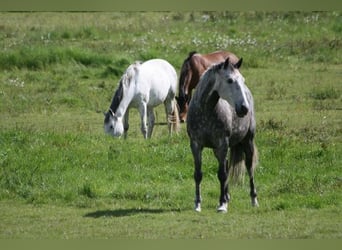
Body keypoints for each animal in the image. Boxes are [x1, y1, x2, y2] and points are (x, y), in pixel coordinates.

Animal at [187, 57, 256, 213]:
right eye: (229, 80)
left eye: (242, 79)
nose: (244, 108)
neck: (206, 111)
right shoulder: (196, 145)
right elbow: (198, 174)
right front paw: (197, 204)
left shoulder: (222, 143)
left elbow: (222, 175)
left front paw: (222, 204)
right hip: (217, 150)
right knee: (226, 164)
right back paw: (227, 195)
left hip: (247, 141)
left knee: (249, 167)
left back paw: (253, 199)